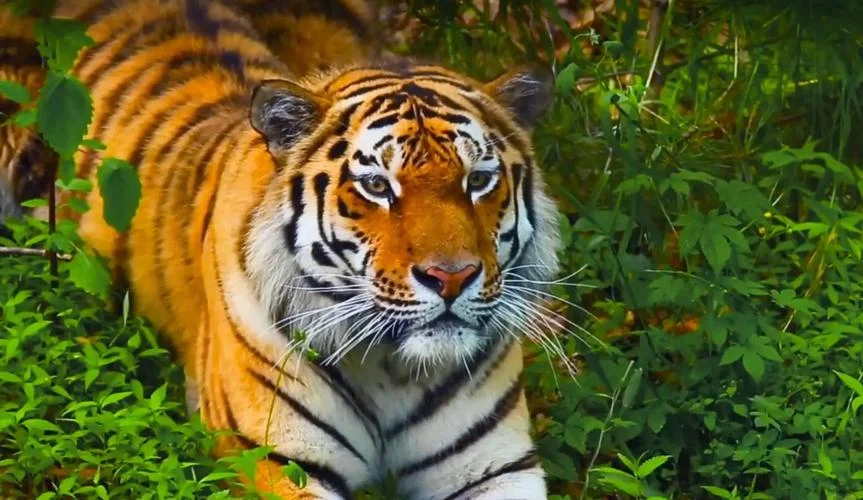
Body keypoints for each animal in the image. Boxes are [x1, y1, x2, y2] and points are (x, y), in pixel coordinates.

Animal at [6, 0, 563, 498]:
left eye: (479, 180)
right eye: (377, 186)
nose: (452, 277)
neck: (394, 371)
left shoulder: (496, 467)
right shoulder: (279, 460)